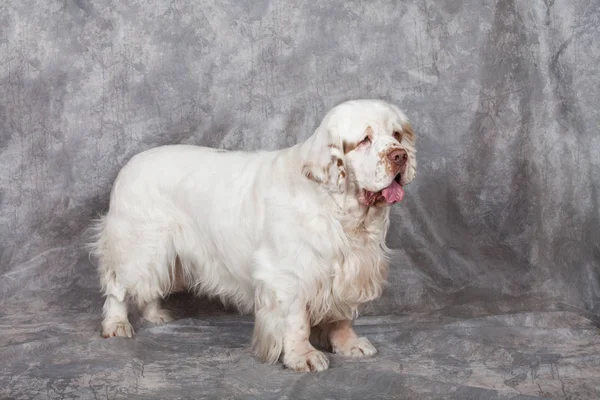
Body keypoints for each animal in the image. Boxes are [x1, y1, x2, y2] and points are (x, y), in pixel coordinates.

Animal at [90, 99, 418, 372]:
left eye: (397, 135)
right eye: (364, 140)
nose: (400, 156)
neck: (340, 211)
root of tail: (129, 166)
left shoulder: (349, 267)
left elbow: (342, 315)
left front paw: (348, 345)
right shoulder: (288, 274)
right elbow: (296, 321)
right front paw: (303, 356)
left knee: (150, 286)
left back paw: (155, 315)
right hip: (141, 245)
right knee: (119, 286)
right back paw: (117, 324)